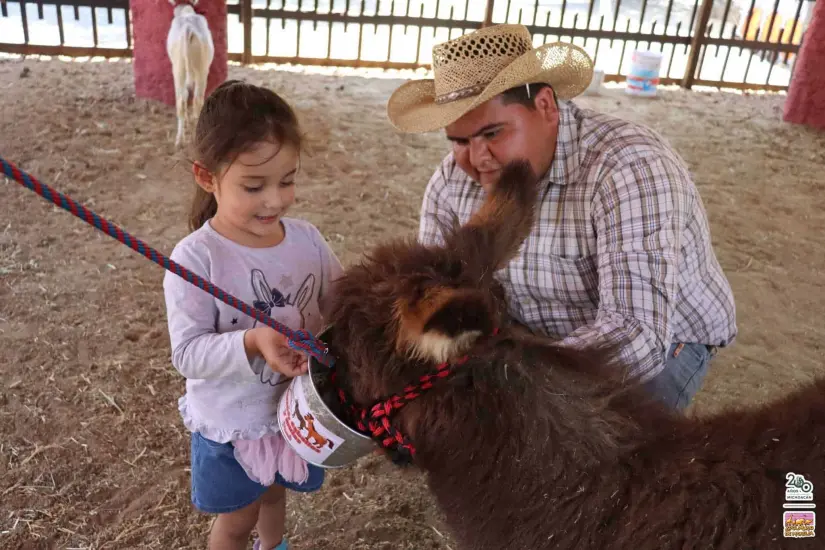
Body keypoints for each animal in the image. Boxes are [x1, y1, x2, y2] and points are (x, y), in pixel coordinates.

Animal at [165, 0, 214, 148]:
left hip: (179, 69)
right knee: (196, 100)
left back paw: (180, 139)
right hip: (200, 71)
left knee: (182, 101)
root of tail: (188, 27)